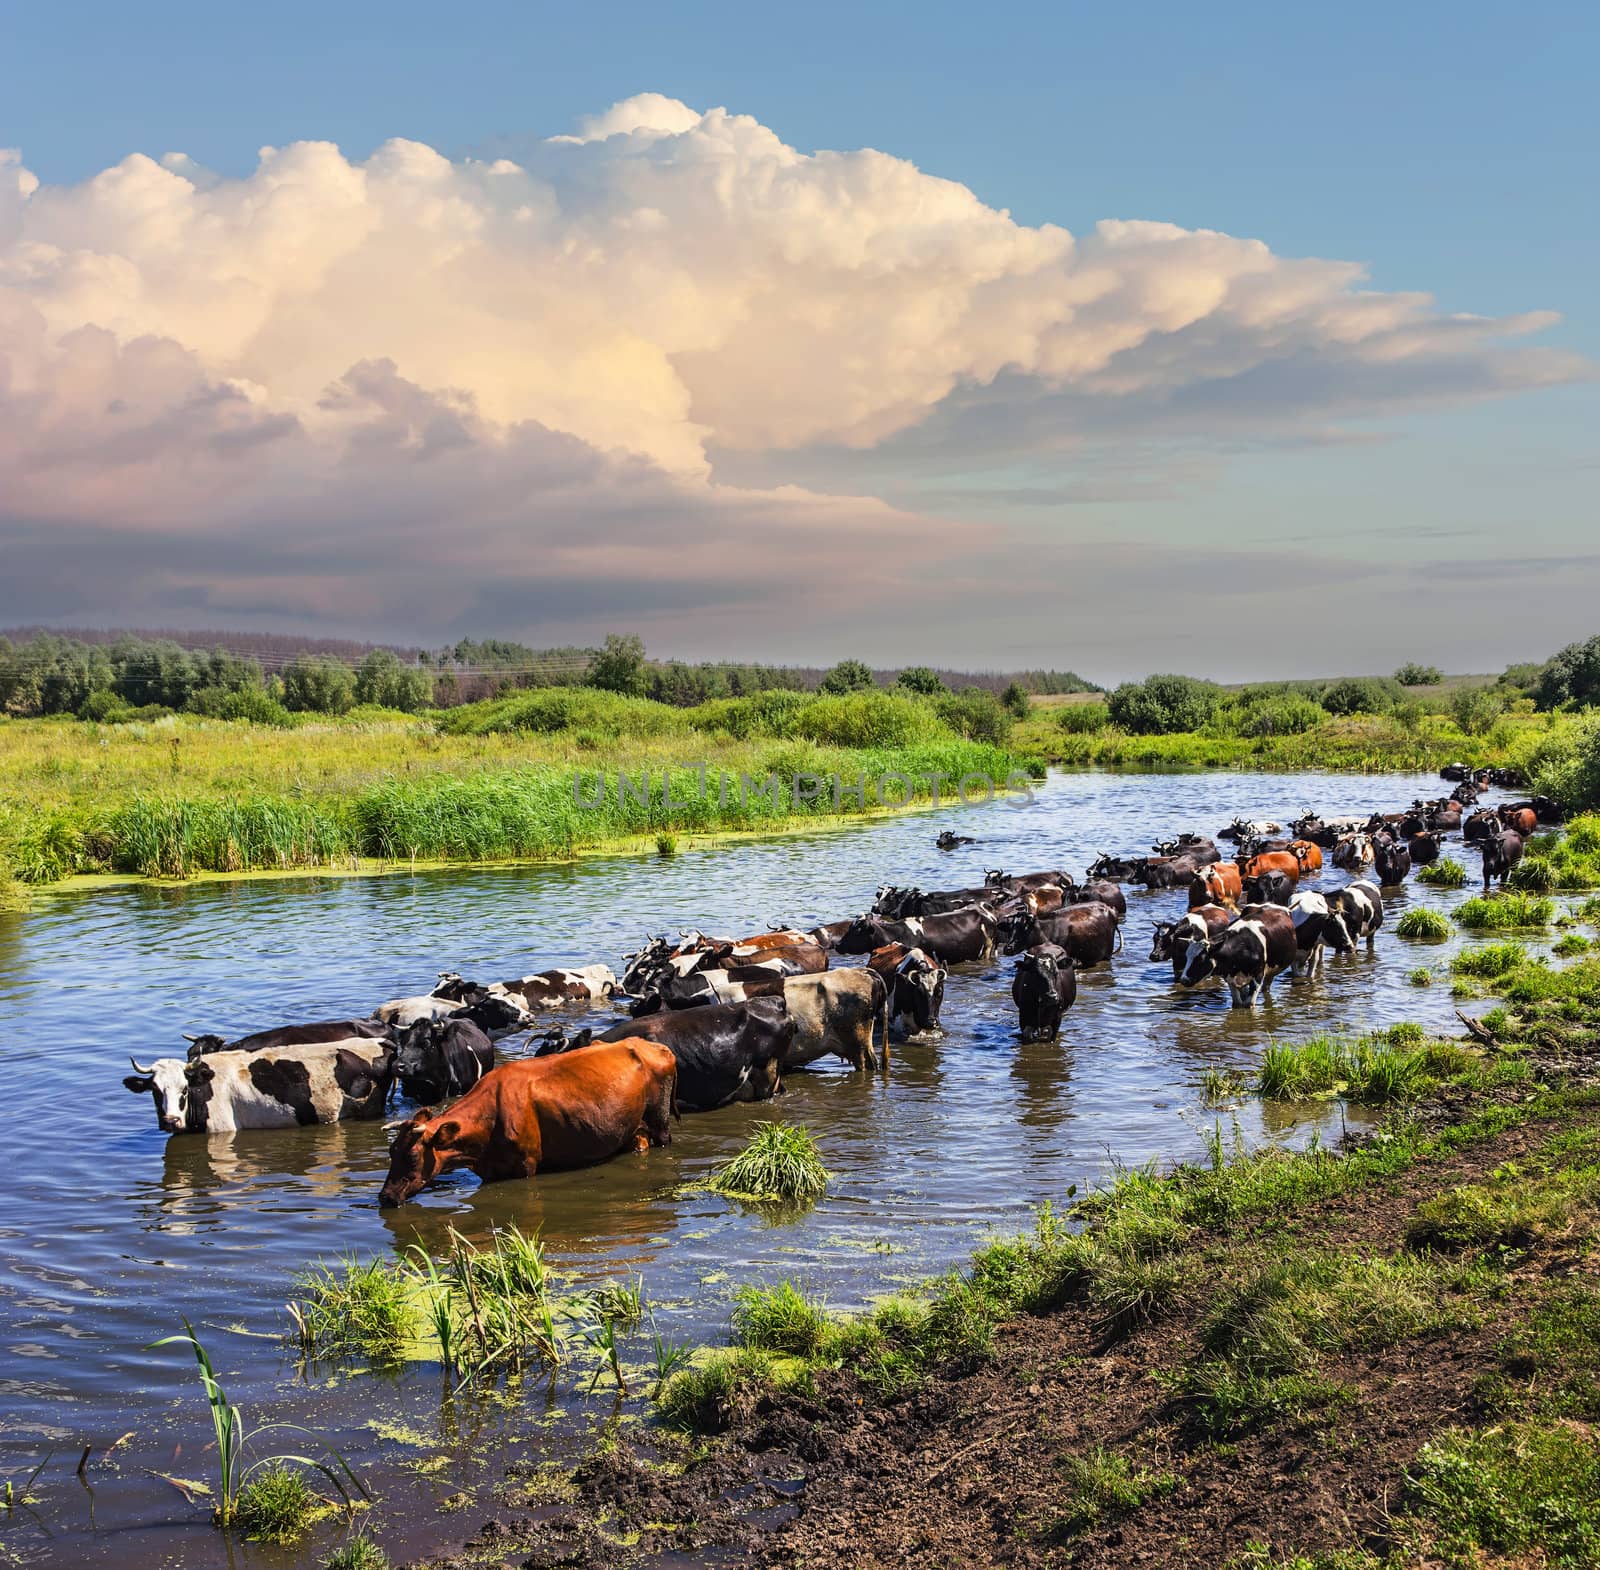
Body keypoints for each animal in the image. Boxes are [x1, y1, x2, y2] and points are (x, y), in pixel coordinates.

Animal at [377, 1037, 678, 1209]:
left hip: (661, 1121)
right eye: (391, 1153)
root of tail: (653, 1045)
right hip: (630, 1129)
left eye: (413, 1157)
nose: (386, 1197)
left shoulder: (525, 1166)